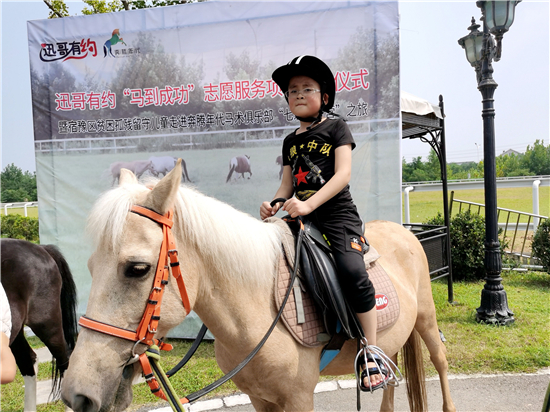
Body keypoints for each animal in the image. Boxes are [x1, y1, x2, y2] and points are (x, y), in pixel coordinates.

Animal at [60, 162, 458, 412]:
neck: (256, 313)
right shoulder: (259, 398)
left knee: (439, 358)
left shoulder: (299, 398)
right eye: (90, 267)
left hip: (425, 318)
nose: (77, 393)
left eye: (137, 269)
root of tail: (404, 229)